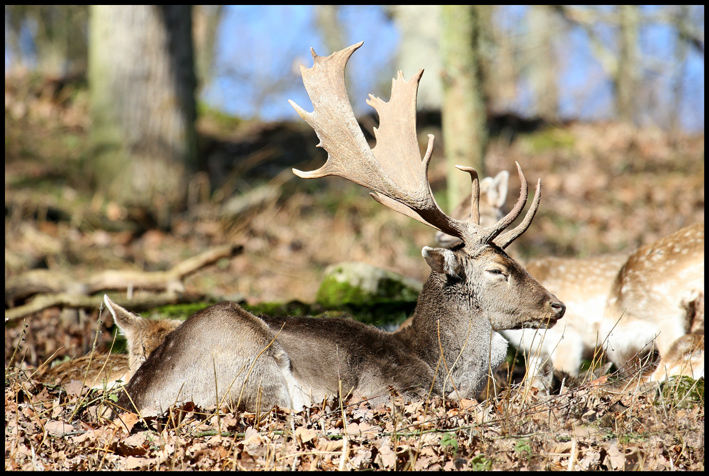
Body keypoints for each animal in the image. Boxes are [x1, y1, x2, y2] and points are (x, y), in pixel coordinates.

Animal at [115, 42, 564, 414]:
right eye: (497, 270)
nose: (557, 305)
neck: (435, 366)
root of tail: (135, 400)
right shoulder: (386, 391)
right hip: (248, 351)